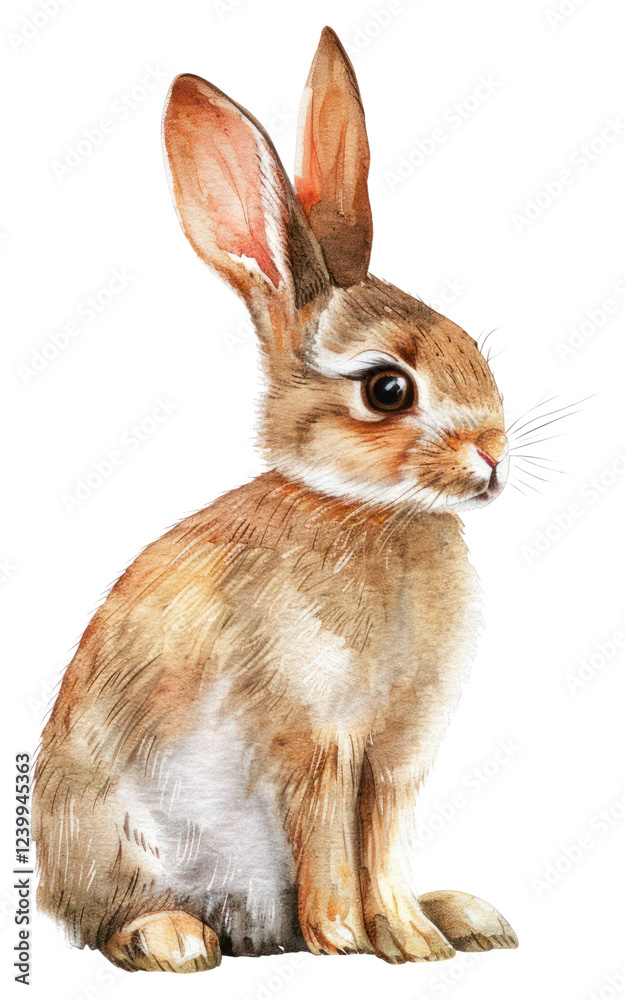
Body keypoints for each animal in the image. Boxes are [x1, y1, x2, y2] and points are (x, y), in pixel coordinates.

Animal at [34, 27, 518, 972]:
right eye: (387, 390)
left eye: (471, 349)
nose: (491, 454)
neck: (371, 512)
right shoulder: (314, 738)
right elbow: (328, 839)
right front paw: (349, 941)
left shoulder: (396, 754)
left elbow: (382, 845)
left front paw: (411, 939)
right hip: (117, 834)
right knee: (113, 922)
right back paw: (177, 939)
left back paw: (462, 915)